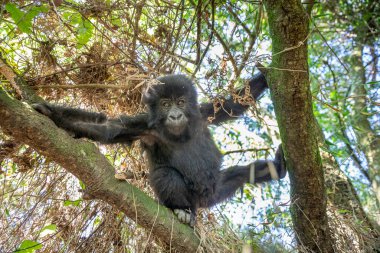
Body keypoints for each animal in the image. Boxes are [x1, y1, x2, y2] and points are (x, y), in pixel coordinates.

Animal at [34, 72, 286, 225]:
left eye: (180, 102)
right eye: (165, 105)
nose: (174, 115)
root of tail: (200, 205)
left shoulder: (202, 114)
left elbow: (232, 105)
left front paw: (264, 76)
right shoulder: (146, 128)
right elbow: (107, 128)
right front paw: (54, 115)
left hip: (215, 192)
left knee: (241, 174)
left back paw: (278, 168)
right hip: (192, 198)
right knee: (165, 174)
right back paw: (182, 210)